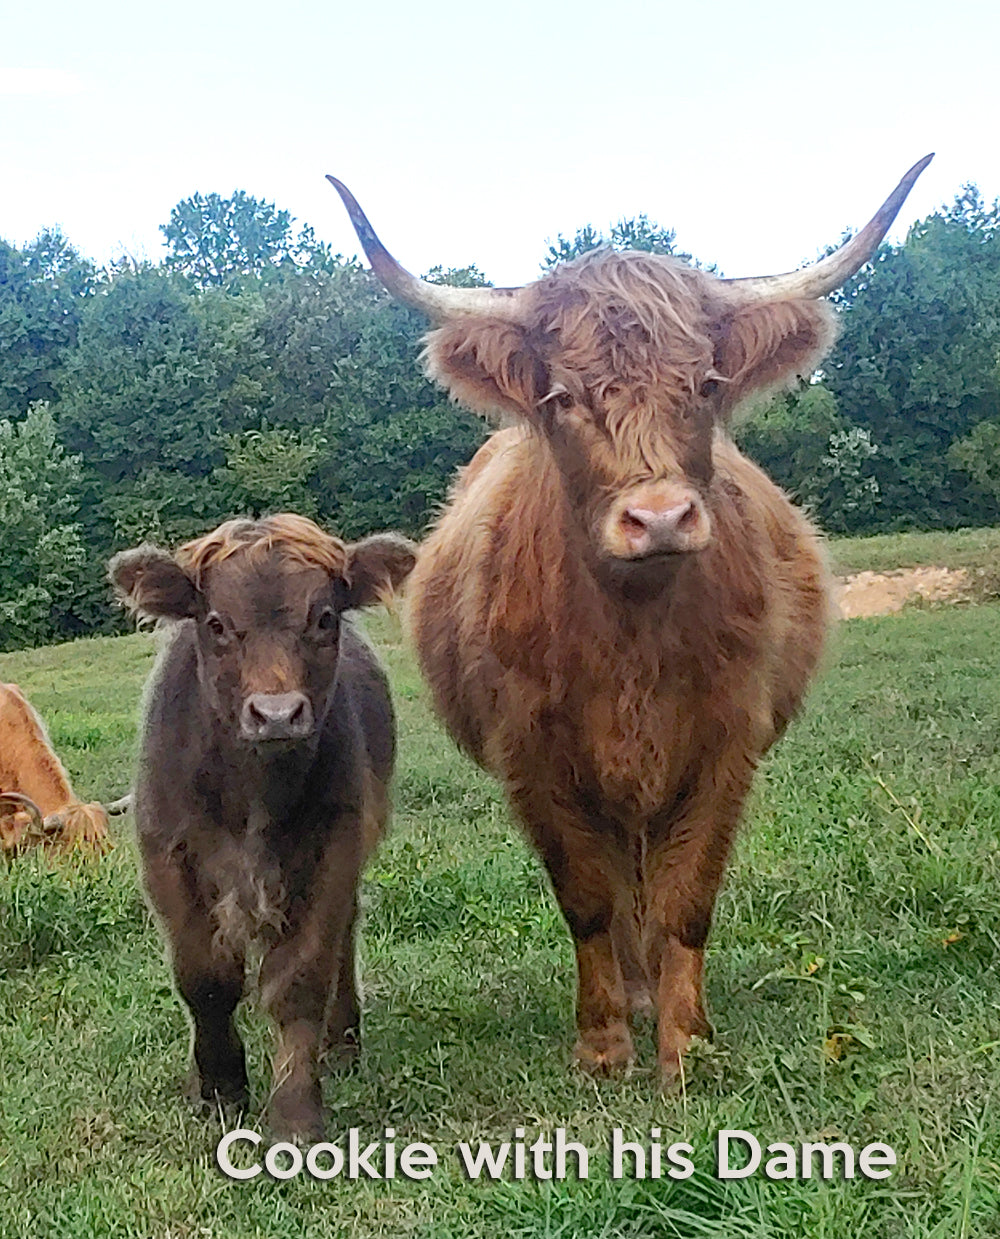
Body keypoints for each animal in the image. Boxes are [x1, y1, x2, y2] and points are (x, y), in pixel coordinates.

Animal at [109, 513, 416, 1140]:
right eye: (217, 623)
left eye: (323, 618)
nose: (277, 715)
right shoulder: (166, 854)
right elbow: (205, 980)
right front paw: (219, 1087)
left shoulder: (333, 849)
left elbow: (300, 980)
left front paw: (296, 1111)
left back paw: (342, 1042)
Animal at [327, 156, 932, 1079]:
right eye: (563, 397)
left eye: (706, 384)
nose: (659, 518)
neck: (631, 640)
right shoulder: (534, 756)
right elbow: (586, 898)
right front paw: (605, 1043)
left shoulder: (725, 745)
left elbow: (688, 900)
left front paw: (686, 1047)